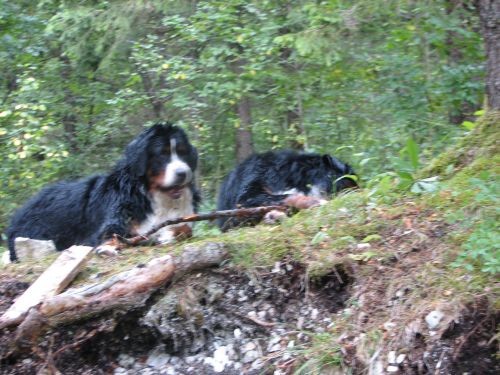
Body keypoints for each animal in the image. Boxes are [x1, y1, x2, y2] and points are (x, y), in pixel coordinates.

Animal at [7, 123, 199, 262]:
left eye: (183, 152)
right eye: (162, 154)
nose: (183, 173)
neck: (158, 197)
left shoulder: (185, 217)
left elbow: (184, 229)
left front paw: (167, 235)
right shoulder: (114, 222)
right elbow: (112, 235)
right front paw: (107, 248)